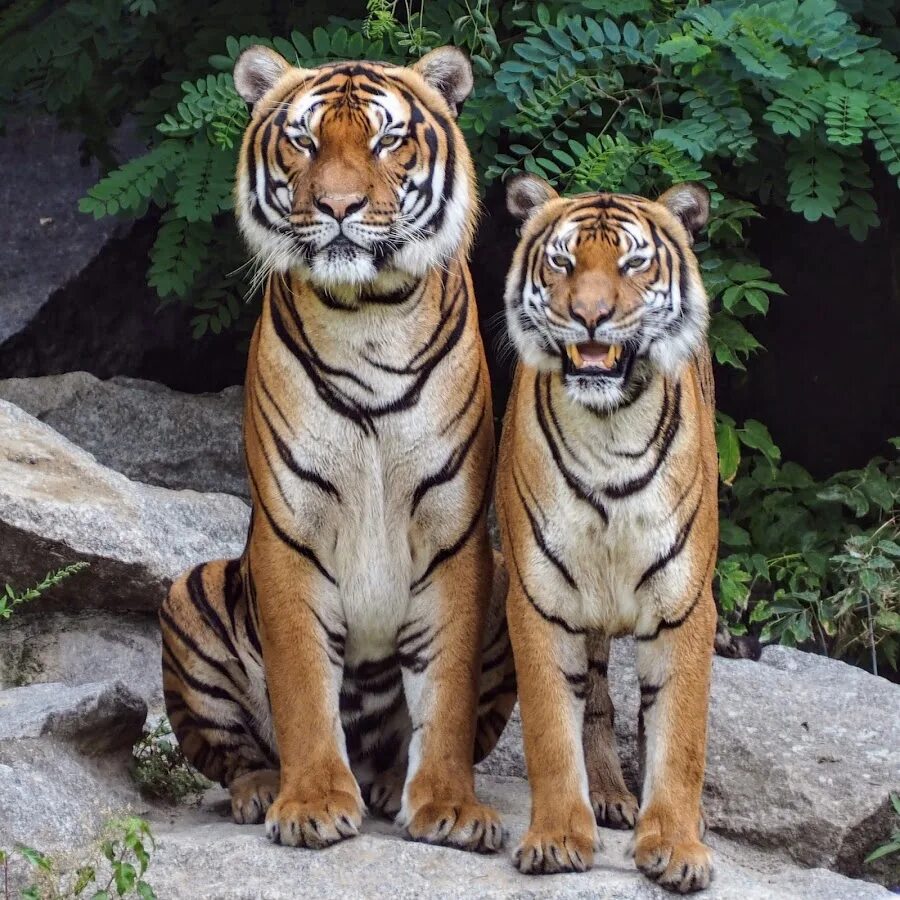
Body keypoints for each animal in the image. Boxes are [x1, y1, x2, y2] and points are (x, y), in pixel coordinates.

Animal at [158, 45, 516, 856]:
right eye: (304, 141)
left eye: (387, 141)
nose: (339, 207)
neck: (368, 314)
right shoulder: (290, 530)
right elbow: (300, 684)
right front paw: (314, 803)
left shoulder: (454, 535)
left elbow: (445, 696)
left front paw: (449, 806)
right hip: (190, 591)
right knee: (232, 754)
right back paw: (264, 789)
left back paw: (387, 784)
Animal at [496, 174, 720, 892]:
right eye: (563, 263)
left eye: (632, 263)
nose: (590, 316)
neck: (609, 432)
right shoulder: (539, 599)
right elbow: (549, 726)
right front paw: (557, 837)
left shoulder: (686, 606)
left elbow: (679, 737)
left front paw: (675, 845)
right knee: (594, 699)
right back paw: (608, 795)